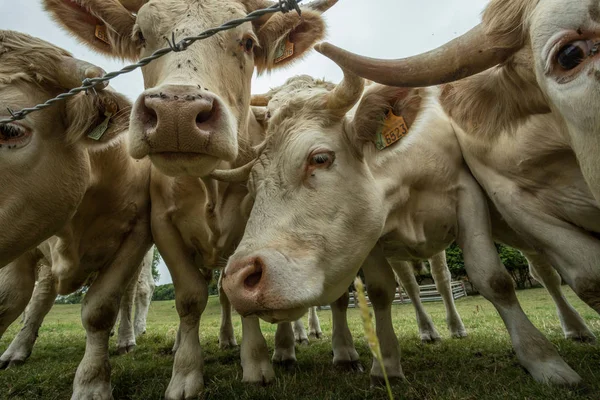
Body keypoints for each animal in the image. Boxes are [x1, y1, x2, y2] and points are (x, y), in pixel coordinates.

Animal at [218, 65, 588, 384]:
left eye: (319, 159)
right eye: (253, 185)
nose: (237, 279)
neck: (402, 171)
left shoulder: (467, 194)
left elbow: (493, 278)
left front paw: (544, 360)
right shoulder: (370, 236)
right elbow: (382, 292)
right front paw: (386, 365)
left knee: (525, 272)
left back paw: (568, 327)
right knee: (410, 286)